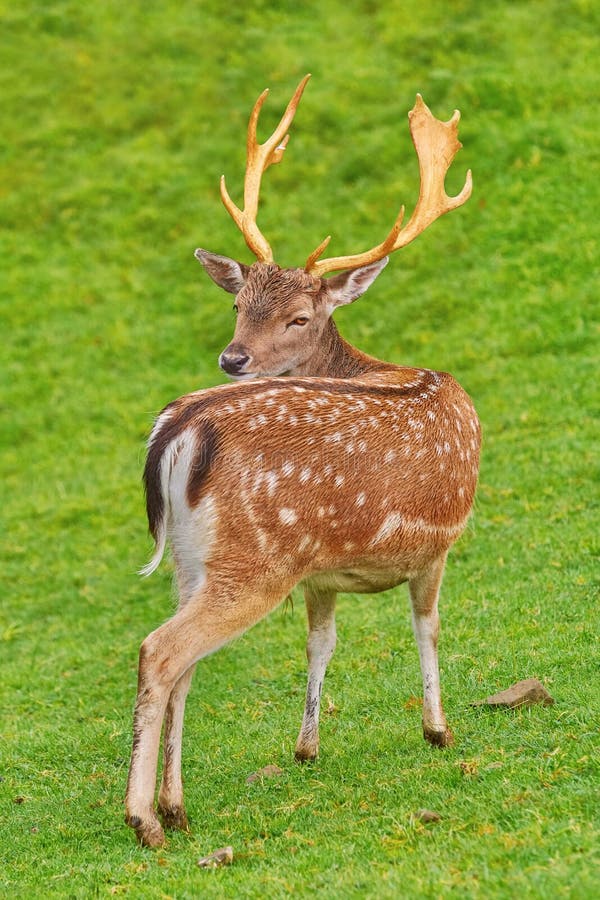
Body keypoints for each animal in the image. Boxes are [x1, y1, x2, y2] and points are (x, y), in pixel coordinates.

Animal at [125, 74, 478, 848]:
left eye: (298, 316)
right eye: (238, 307)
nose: (232, 357)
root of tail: (178, 429)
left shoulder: (321, 573)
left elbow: (321, 643)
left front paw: (307, 745)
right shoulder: (437, 545)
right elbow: (428, 626)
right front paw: (439, 730)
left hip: (195, 563)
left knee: (184, 664)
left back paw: (176, 805)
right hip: (253, 562)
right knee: (160, 652)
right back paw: (144, 820)